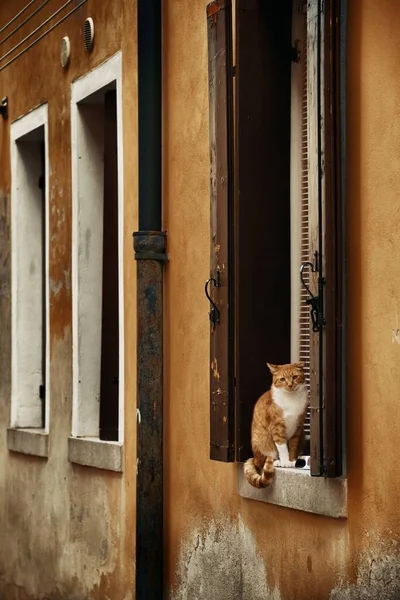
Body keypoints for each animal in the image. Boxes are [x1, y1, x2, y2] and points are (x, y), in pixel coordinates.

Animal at [242, 360, 308, 488]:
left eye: (295, 377)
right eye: (282, 379)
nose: (290, 385)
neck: (291, 399)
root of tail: (254, 457)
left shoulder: (297, 428)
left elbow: (292, 446)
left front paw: (292, 461)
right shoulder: (277, 428)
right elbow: (282, 447)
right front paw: (285, 461)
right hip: (262, 441)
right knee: (262, 462)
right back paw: (277, 461)